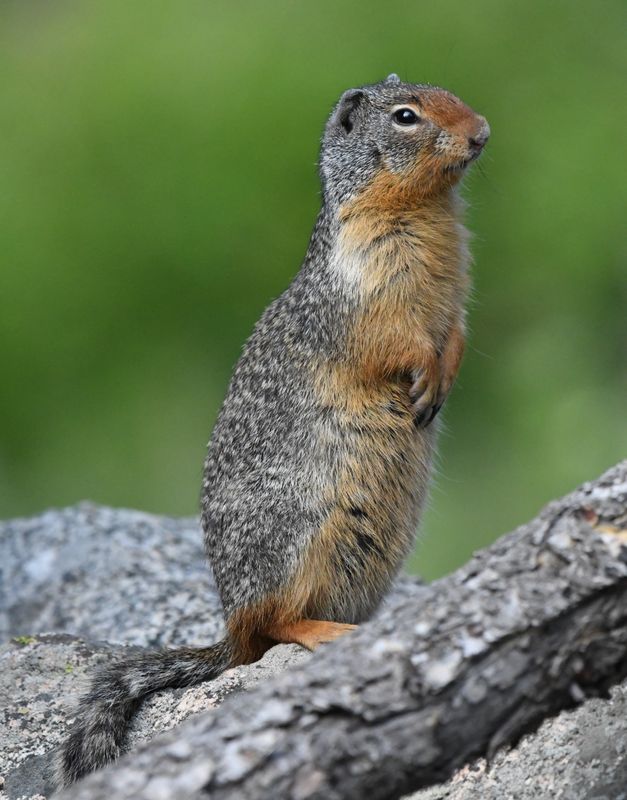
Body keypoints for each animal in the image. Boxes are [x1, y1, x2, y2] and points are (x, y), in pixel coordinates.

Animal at [56, 72, 490, 784]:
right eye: (406, 116)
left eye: (448, 90)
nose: (482, 132)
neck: (424, 212)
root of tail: (227, 628)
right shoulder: (370, 291)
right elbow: (397, 342)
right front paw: (425, 378)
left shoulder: (455, 292)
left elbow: (455, 334)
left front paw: (443, 378)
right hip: (297, 541)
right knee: (273, 628)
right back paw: (324, 632)